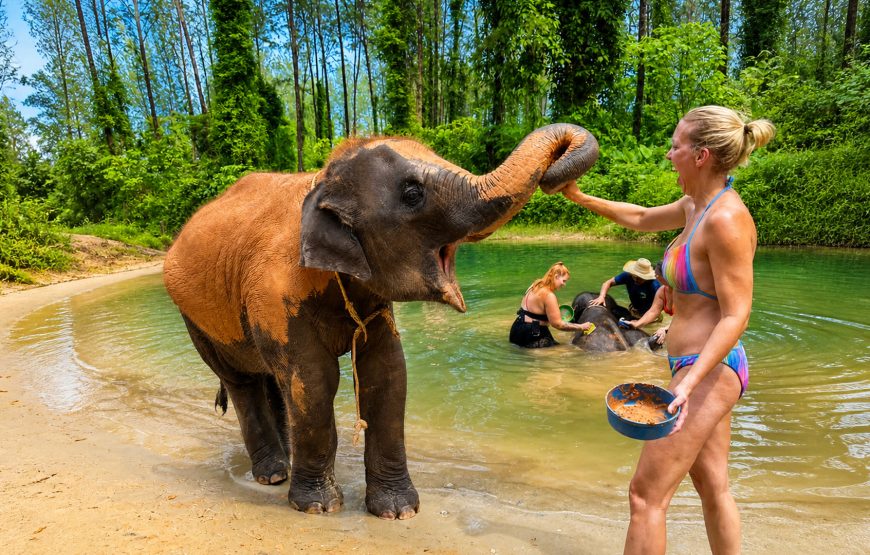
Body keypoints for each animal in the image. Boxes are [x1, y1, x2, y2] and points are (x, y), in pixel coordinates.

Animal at [163, 124, 599, 520]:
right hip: (195, 318)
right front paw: (319, 508)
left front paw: (398, 512)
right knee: (244, 381)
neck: (322, 181)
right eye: (412, 194)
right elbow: (314, 380)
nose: (559, 180)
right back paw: (272, 475)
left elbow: (387, 373)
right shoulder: (274, 291)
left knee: (273, 379)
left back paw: (285, 463)